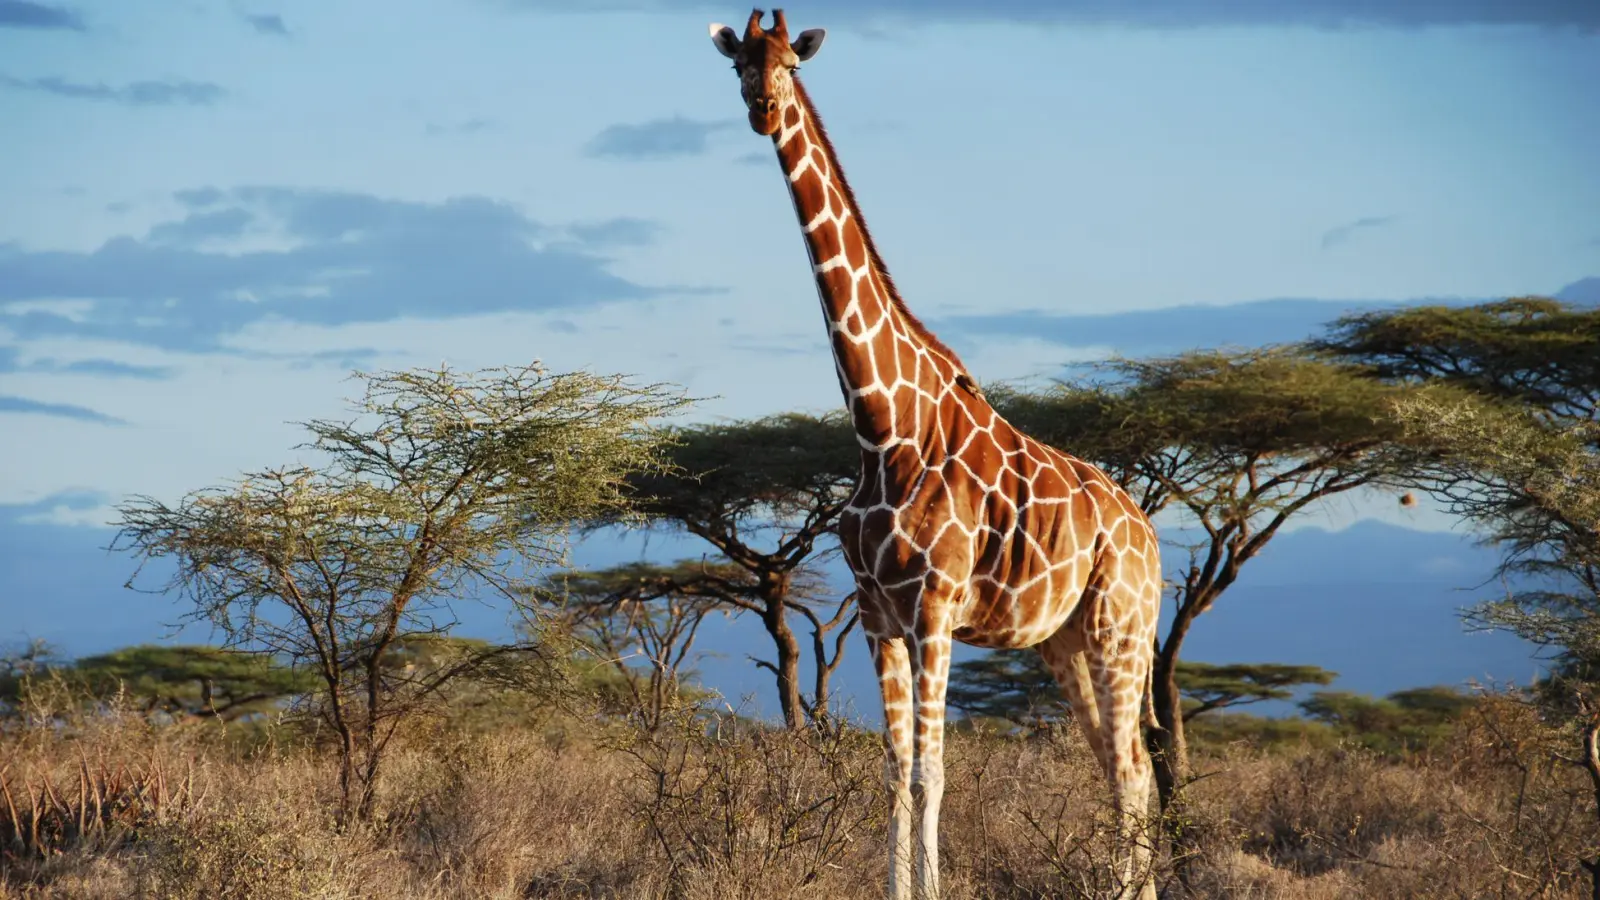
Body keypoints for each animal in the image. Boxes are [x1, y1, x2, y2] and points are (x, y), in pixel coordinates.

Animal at [708, 11, 1163, 900]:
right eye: (739, 63)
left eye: (789, 65)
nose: (763, 109)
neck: (882, 427)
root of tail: (1151, 536)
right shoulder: (878, 614)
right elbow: (895, 771)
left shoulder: (935, 609)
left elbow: (933, 773)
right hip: (1065, 642)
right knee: (1124, 767)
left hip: (1121, 627)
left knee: (1133, 772)